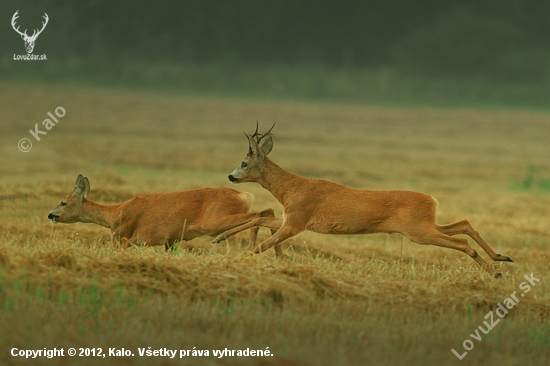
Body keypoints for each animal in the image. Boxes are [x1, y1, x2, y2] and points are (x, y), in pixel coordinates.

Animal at [47, 173, 280, 253]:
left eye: (63, 202)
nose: (50, 214)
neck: (114, 213)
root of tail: (244, 194)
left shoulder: (122, 235)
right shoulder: (171, 239)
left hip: (214, 221)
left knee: (261, 213)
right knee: (268, 212)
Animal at [213, 124, 516, 276]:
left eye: (244, 162)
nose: (230, 177)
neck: (291, 189)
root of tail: (432, 199)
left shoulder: (297, 219)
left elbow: (262, 243)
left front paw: (239, 258)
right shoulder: (294, 219)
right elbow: (260, 220)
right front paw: (219, 238)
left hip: (418, 230)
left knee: (461, 242)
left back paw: (495, 271)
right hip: (423, 225)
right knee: (463, 223)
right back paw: (502, 258)